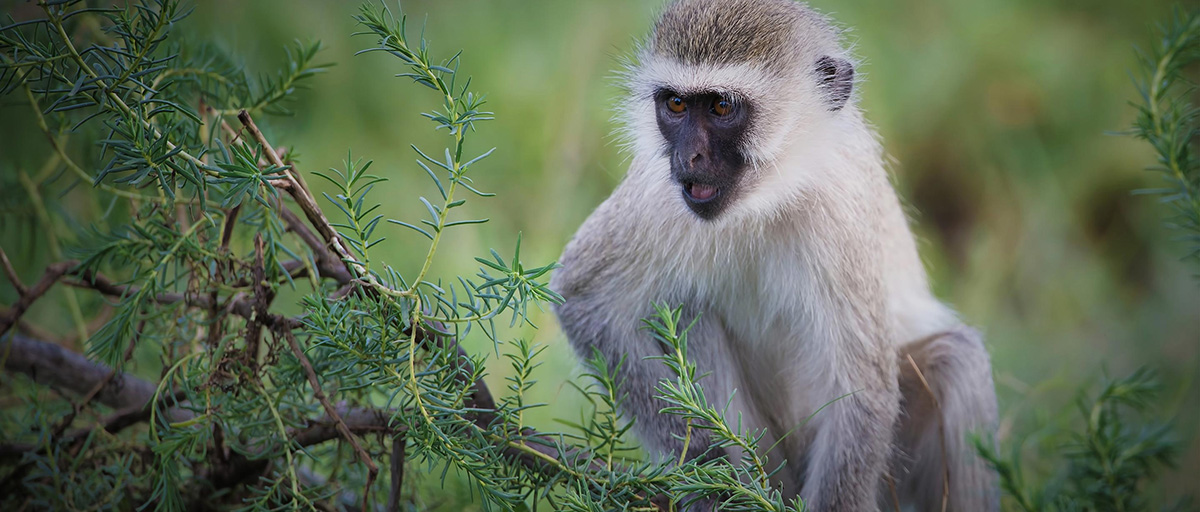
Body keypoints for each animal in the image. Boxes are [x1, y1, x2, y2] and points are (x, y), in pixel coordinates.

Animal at [552, 1, 1003, 512]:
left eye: (722, 106)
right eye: (676, 105)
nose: (688, 157)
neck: (765, 202)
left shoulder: (841, 213)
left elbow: (863, 390)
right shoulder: (657, 195)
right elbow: (584, 298)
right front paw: (709, 475)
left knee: (957, 357)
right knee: (685, 303)